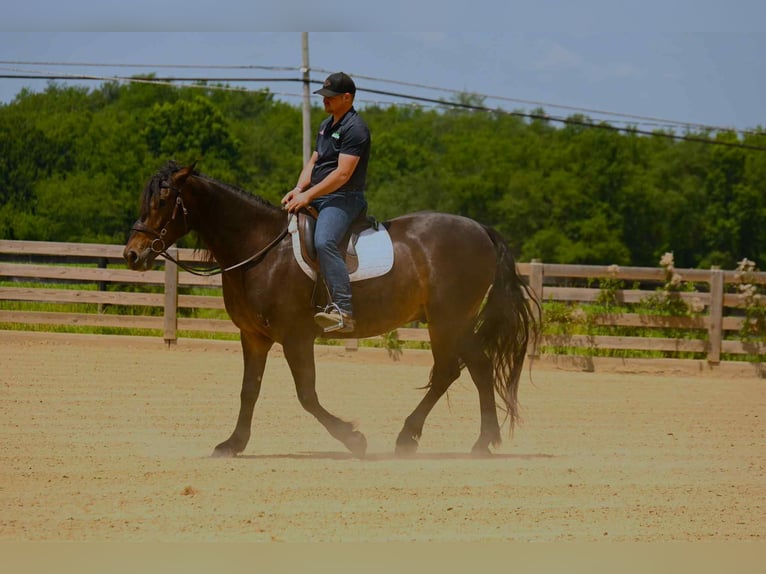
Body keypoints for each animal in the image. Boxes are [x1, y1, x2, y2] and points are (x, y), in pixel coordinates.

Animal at [124, 161, 539, 458]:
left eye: (162, 202)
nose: (132, 254)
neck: (259, 249)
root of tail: (481, 230)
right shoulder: (254, 337)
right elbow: (249, 390)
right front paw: (233, 444)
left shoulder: (295, 337)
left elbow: (306, 395)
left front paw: (354, 439)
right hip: (456, 322)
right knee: (480, 367)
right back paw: (482, 443)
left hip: (446, 321)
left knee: (449, 372)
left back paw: (409, 437)